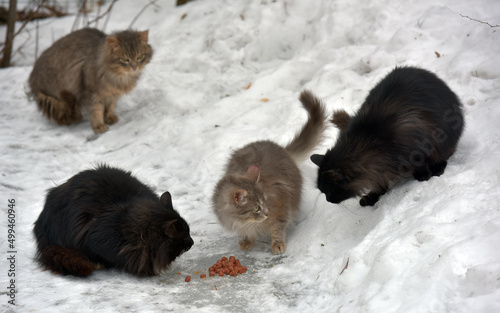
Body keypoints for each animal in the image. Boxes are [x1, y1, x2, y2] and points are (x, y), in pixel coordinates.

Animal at [212, 89, 326, 254]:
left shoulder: (281, 209)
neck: (242, 221)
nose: (267, 213)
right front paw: (247, 241)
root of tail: (282, 149)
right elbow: (247, 233)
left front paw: (278, 244)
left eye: (265, 201)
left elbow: (277, 229)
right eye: (256, 208)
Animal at [312, 66, 464, 205]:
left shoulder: (416, 137)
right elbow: (380, 181)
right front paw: (372, 196)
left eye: (330, 190)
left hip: (445, 137)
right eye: (324, 192)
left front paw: (422, 174)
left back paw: (437, 168)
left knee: (444, 155)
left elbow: (420, 161)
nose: (328, 200)